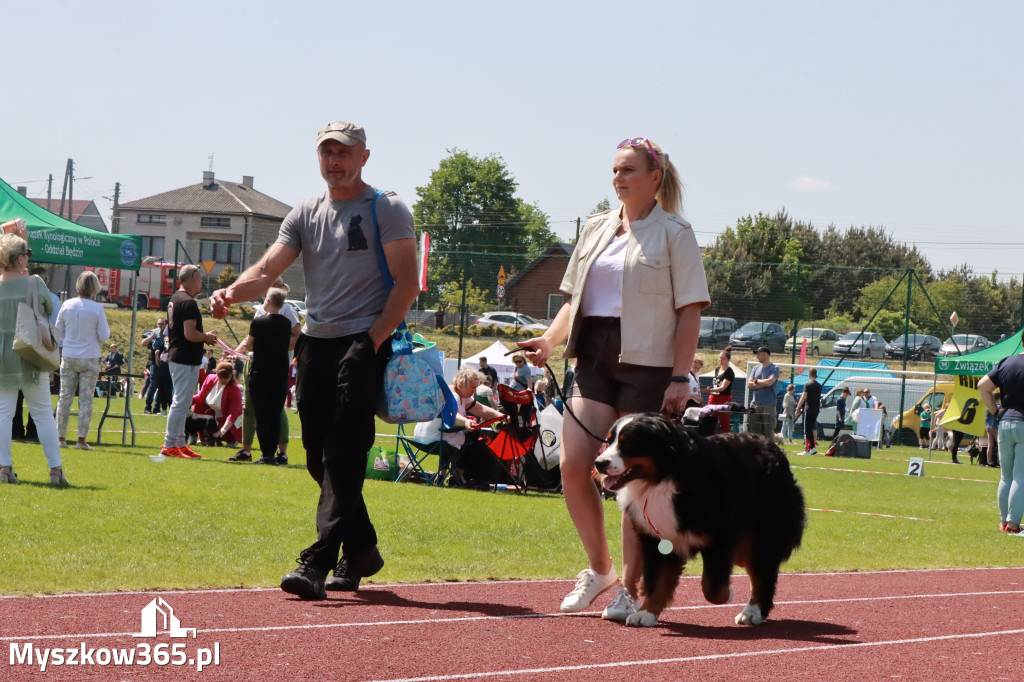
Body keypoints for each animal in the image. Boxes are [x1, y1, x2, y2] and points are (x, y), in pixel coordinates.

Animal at [593, 411, 806, 622]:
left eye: (628, 443)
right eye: (608, 441)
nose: (599, 463)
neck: (663, 479)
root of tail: (772, 445)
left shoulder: (721, 536)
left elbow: (712, 587)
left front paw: (728, 593)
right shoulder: (655, 538)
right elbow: (657, 581)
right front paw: (647, 612)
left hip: (764, 535)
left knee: (762, 573)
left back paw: (752, 611)